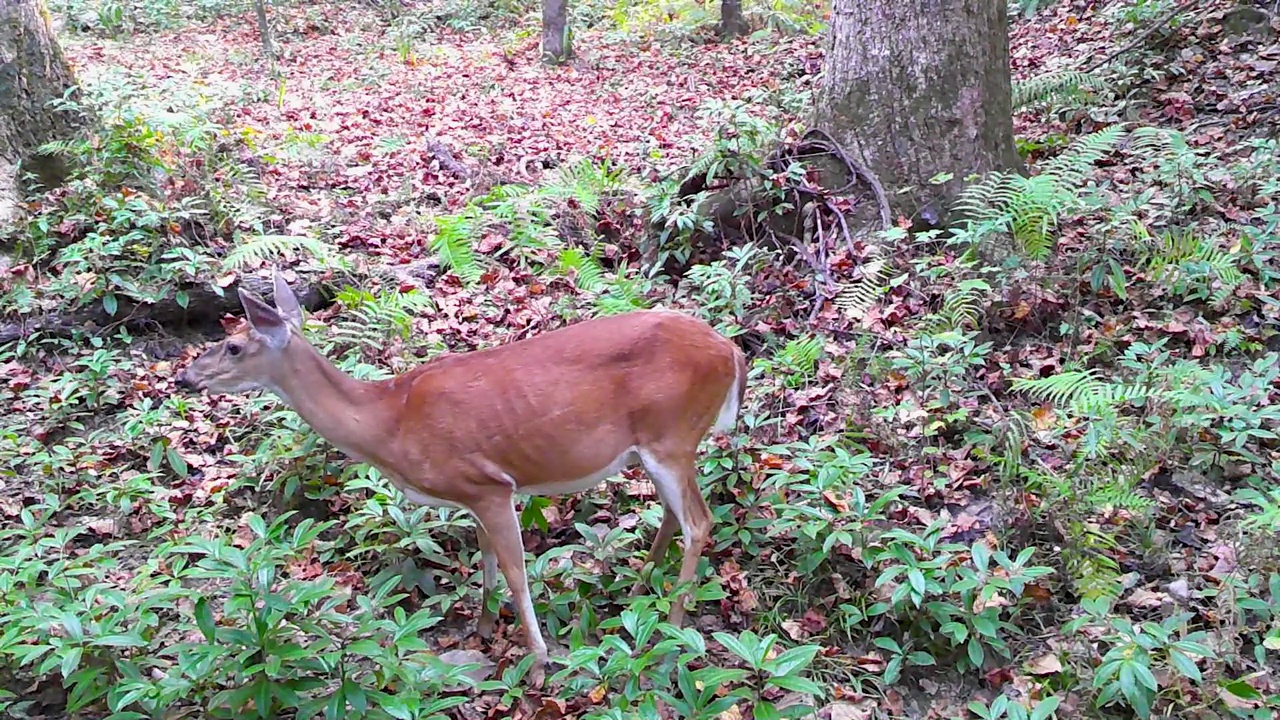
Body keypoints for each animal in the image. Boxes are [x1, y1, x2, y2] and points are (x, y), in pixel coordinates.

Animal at [175, 270, 747, 681]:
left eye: (233, 346)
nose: (184, 377)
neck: (391, 420)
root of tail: (732, 351)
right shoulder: (472, 492)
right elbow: (487, 559)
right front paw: (483, 626)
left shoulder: (490, 484)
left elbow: (515, 571)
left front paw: (538, 663)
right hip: (654, 448)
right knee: (674, 513)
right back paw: (643, 584)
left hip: (671, 434)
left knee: (699, 521)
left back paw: (673, 630)